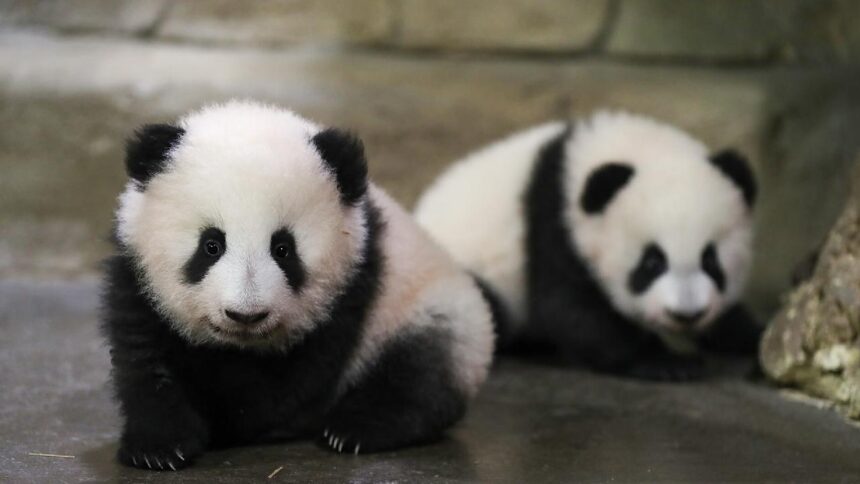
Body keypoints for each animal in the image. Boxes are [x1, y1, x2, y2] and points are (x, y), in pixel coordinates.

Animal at [102, 100, 494, 471]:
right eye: (211, 245)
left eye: (283, 248)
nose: (246, 315)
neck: (239, 346)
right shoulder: (136, 280)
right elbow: (145, 360)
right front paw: (158, 448)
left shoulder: (352, 288)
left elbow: (285, 386)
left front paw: (230, 420)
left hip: (427, 308)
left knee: (419, 372)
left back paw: (357, 427)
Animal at [414, 111, 760, 381]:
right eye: (652, 263)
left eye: (711, 261)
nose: (686, 314)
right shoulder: (554, 224)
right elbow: (572, 310)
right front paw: (668, 363)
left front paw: (747, 336)